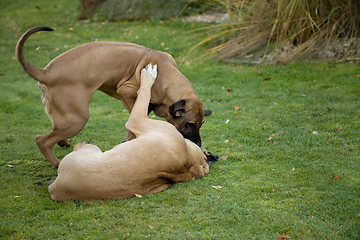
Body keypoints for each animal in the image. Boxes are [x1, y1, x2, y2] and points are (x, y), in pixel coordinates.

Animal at [15, 26, 211, 168]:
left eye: (201, 124)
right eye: (190, 124)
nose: (199, 143)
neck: (166, 73)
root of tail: (46, 72)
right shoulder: (127, 92)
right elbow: (135, 124)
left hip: (66, 117)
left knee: (54, 131)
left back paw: (64, 143)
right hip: (77, 119)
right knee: (43, 140)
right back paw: (57, 163)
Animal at [47, 64, 217, 202]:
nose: (199, 143)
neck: (189, 162)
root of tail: (55, 188)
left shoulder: (137, 120)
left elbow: (144, 93)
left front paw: (149, 75)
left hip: (90, 150)